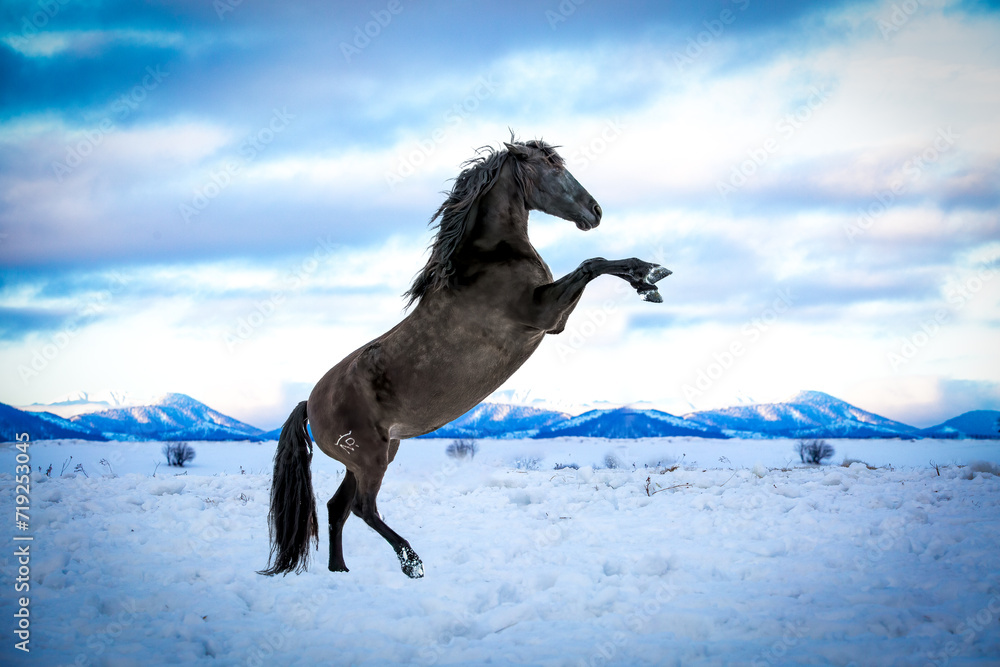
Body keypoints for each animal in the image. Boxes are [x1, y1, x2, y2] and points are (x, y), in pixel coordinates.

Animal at [259, 138, 671, 578]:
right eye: (553, 166)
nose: (595, 211)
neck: (490, 260)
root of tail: (309, 402)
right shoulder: (545, 315)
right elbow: (591, 264)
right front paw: (649, 276)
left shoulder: (553, 320)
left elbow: (596, 264)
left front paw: (649, 278)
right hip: (370, 458)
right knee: (362, 508)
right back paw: (411, 561)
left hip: (375, 454)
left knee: (338, 508)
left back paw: (340, 570)